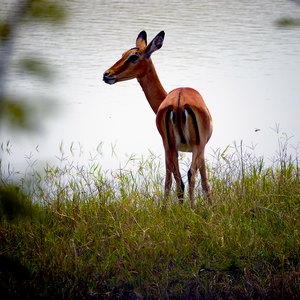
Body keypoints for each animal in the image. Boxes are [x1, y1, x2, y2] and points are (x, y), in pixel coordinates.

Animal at [103, 31, 213, 209]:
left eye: (133, 56)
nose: (106, 75)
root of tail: (178, 102)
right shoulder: (200, 147)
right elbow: (204, 182)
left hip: (173, 147)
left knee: (177, 179)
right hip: (193, 146)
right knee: (188, 176)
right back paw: (190, 210)